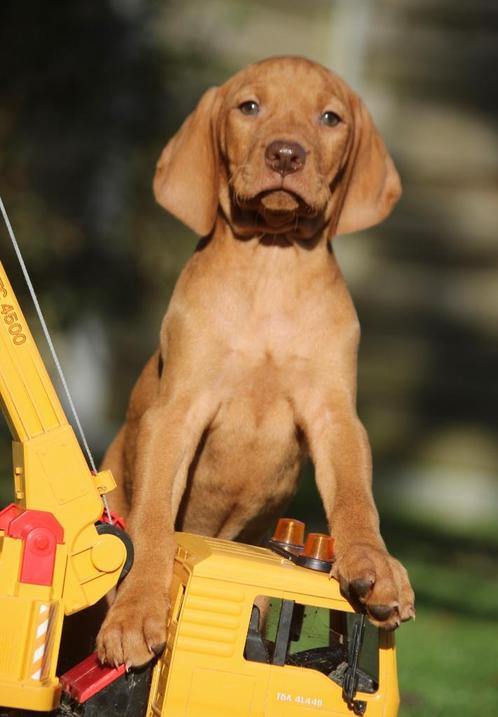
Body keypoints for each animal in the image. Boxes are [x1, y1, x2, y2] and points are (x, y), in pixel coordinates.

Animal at [95, 56, 414, 664]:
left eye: (330, 117)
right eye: (249, 107)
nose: (286, 154)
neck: (272, 260)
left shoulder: (335, 414)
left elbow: (357, 498)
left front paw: (376, 564)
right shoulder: (176, 412)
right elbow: (153, 521)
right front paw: (137, 611)